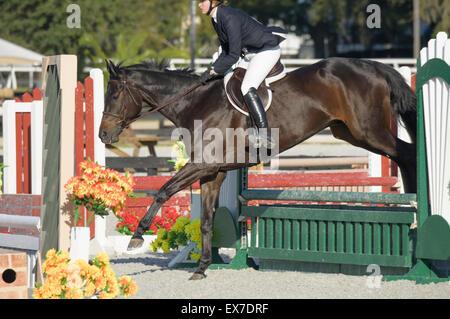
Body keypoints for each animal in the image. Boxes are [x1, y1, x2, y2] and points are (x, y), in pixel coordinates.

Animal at [100, 57, 416, 280]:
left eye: (114, 96)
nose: (103, 135)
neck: (195, 103)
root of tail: (373, 66)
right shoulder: (212, 171)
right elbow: (206, 220)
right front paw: (202, 268)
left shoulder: (202, 165)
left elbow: (163, 191)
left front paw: (137, 236)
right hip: (349, 132)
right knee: (404, 156)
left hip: (369, 131)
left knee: (408, 154)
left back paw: (415, 211)